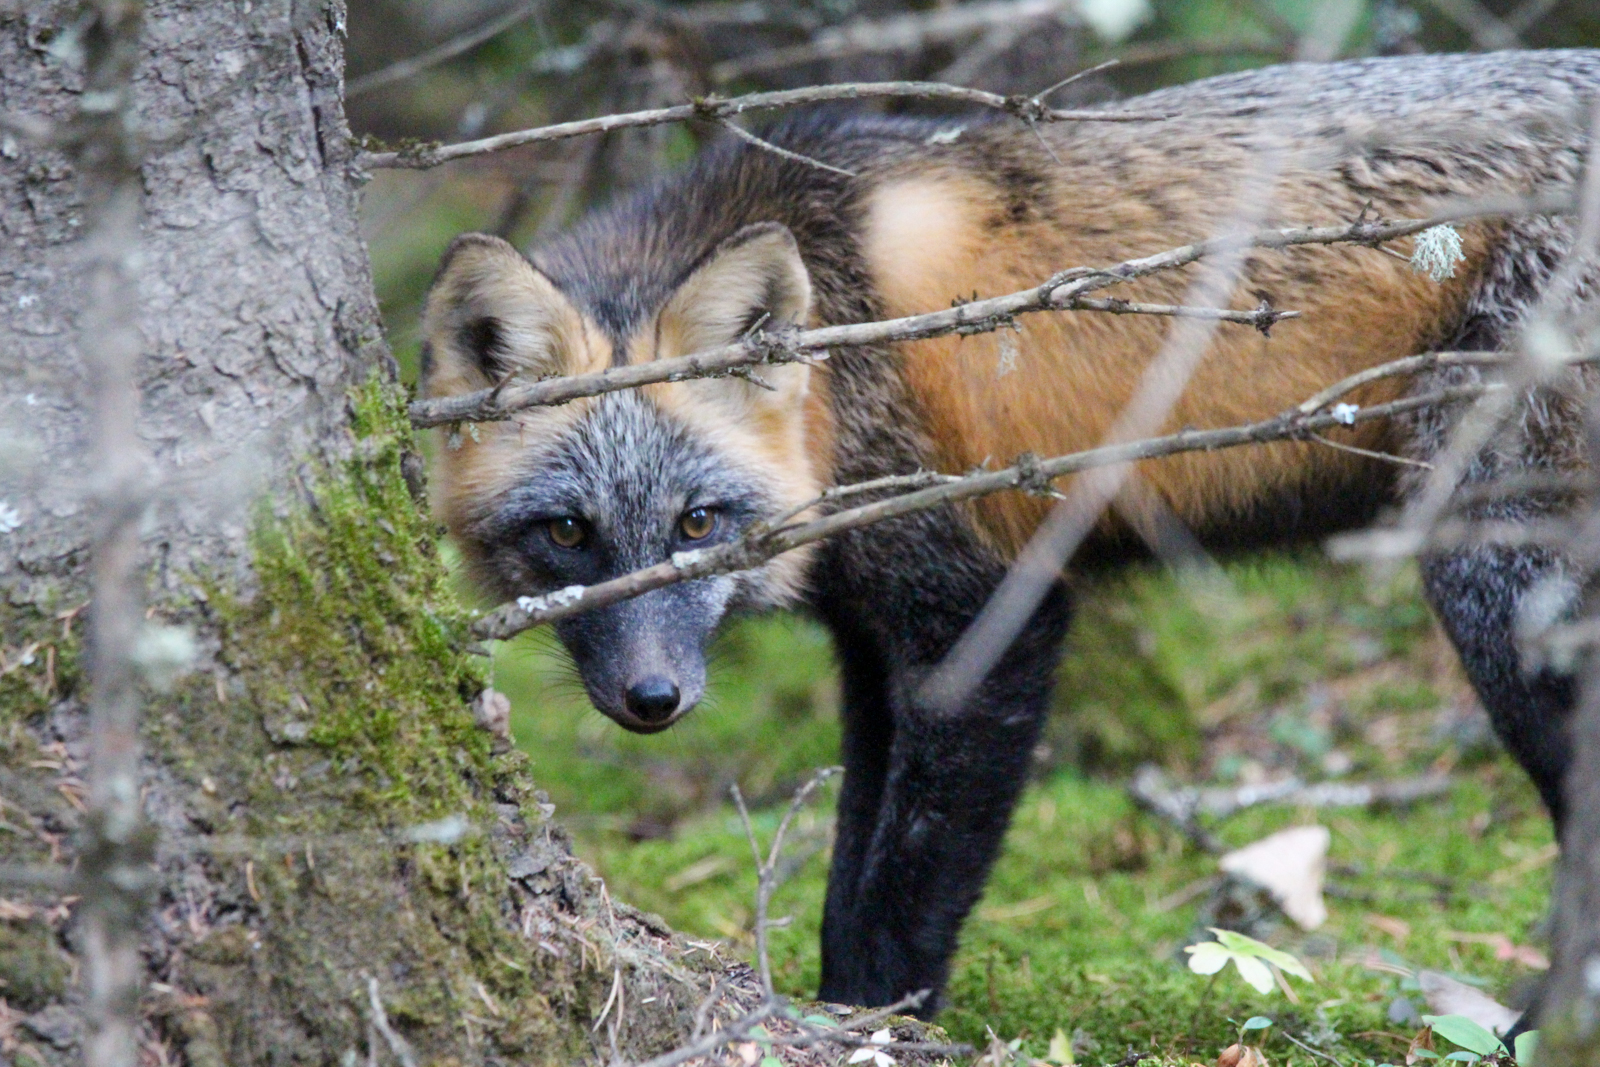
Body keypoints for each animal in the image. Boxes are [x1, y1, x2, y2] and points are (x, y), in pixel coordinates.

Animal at [420, 50, 1600, 1022]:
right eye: (567, 532)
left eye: (697, 520)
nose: (653, 699)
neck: (842, 365)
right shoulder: (872, 641)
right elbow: (850, 858)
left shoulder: (985, 615)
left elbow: (904, 884)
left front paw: (874, 1019)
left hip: (1496, 584)